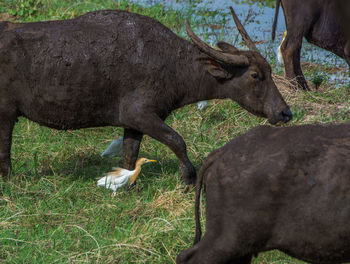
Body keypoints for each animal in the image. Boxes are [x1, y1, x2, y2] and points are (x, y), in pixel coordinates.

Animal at [0, 7, 292, 182]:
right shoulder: (141, 114)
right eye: (255, 75)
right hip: (6, 115)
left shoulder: (132, 124)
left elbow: (130, 154)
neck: (171, 63)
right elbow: (177, 140)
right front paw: (188, 177)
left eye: (269, 70)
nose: (285, 112)